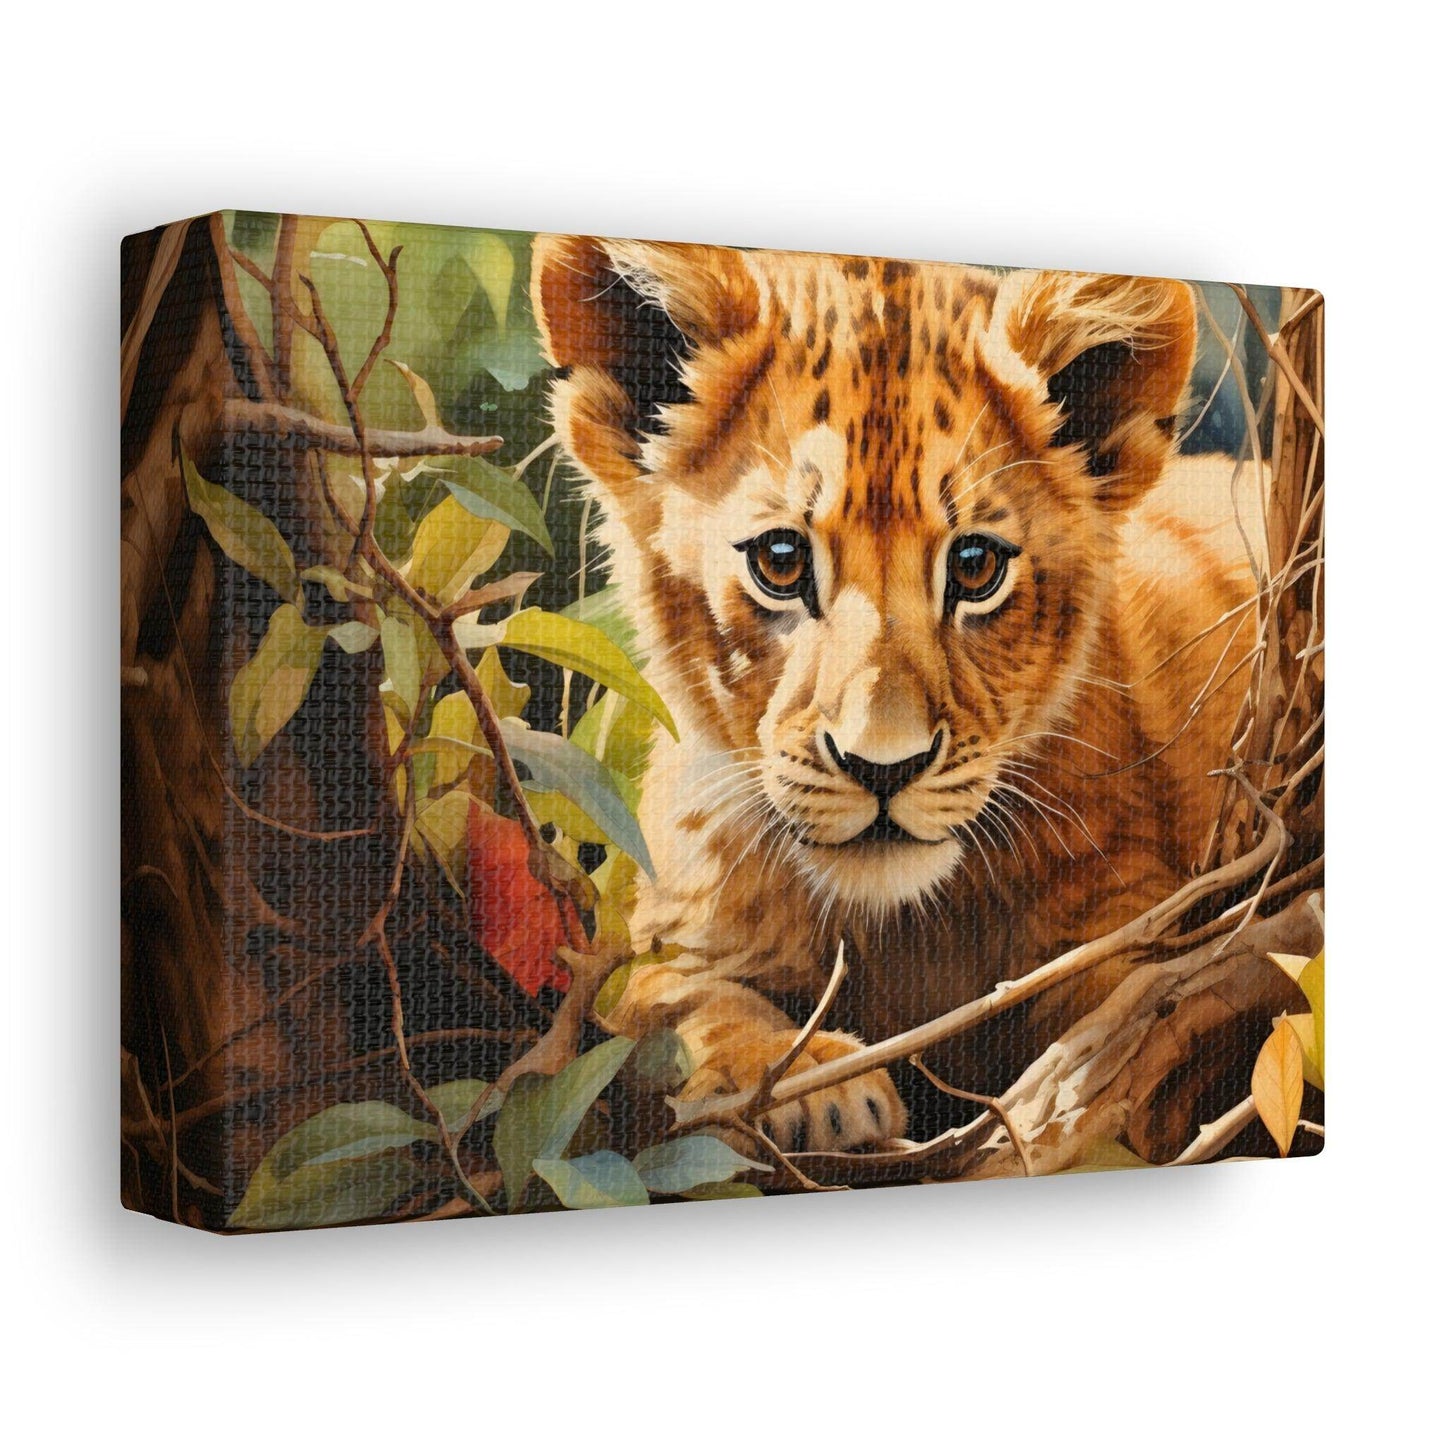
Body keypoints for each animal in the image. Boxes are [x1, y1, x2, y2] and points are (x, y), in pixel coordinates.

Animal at [531, 236, 1263, 1151]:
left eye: (975, 566)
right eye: (779, 560)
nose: (884, 767)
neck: (903, 930)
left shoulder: (1131, 916)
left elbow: (1143, 1008)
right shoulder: (660, 936)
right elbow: (674, 998)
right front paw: (805, 1079)